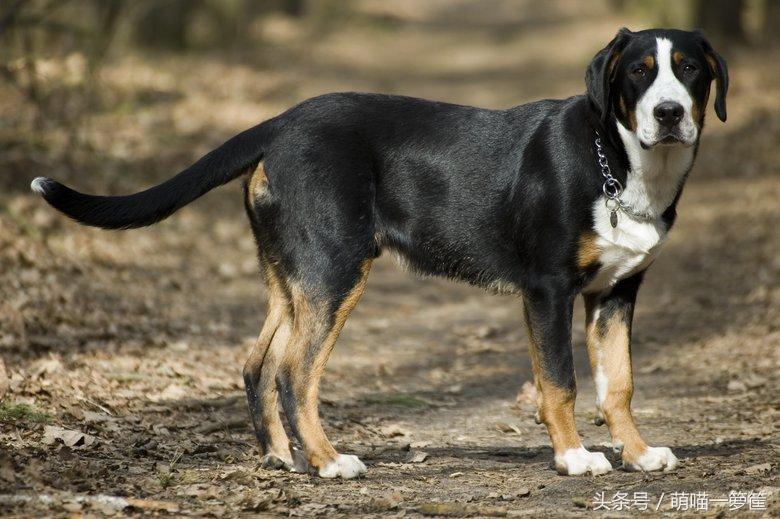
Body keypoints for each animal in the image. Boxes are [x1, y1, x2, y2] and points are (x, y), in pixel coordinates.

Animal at [30, 27, 724, 480]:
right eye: (638, 71)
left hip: (294, 276)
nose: (668, 113)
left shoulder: (616, 293)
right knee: (295, 371)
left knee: (258, 364)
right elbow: (561, 383)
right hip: (336, 269)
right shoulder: (548, 290)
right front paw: (575, 457)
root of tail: (280, 123)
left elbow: (619, 384)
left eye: (689, 69)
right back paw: (330, 462)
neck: (619, 164)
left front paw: (639, 454)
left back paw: (283, 457)